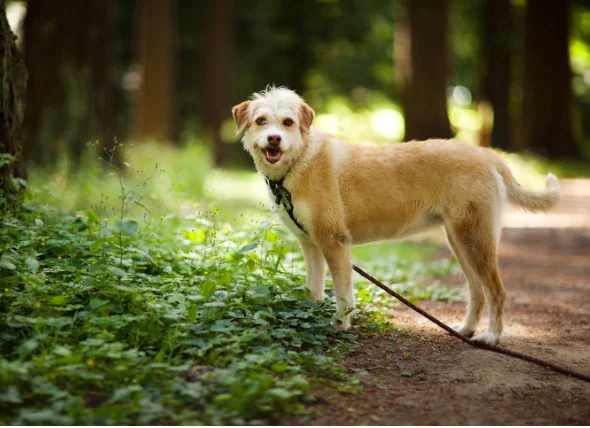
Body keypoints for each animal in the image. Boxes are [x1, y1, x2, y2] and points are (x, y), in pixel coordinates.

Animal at [232, 87, 564, 344]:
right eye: (261, 121)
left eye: (288, 122)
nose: (274, 139)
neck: (299, 161)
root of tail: (488, 155)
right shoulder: (311, 245)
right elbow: (314, 289)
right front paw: (312, 316)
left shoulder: (335, 242)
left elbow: (342, 294)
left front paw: (341, 325)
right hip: (460, 241)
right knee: (477, 291)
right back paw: (467, 330)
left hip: (475, 241)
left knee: (497, 292)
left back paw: (492, 337)